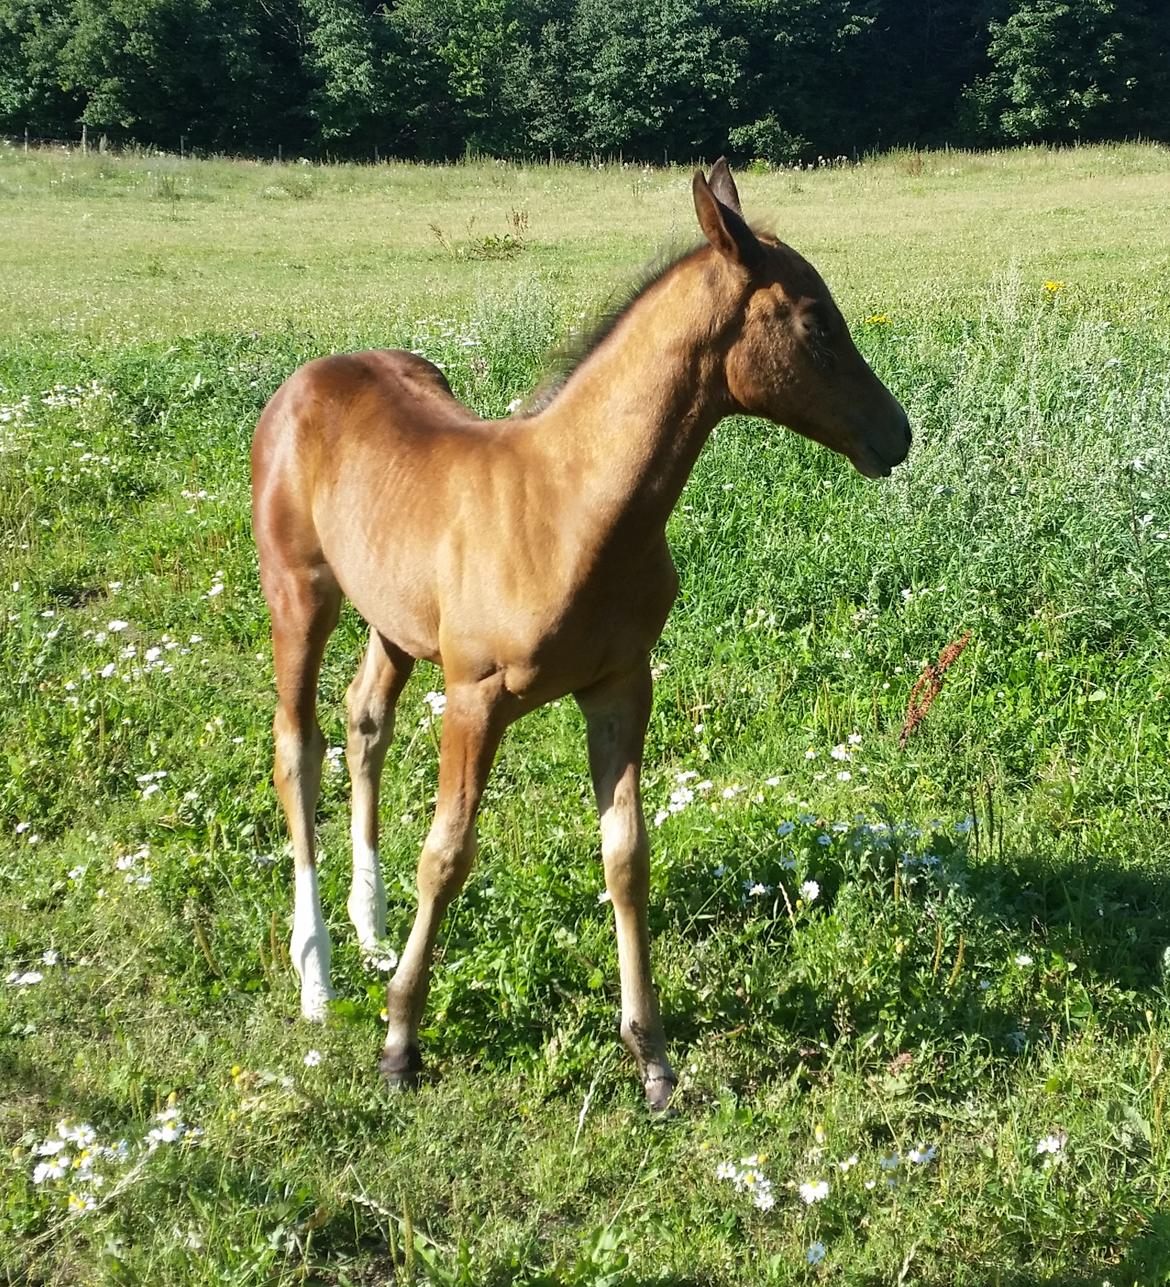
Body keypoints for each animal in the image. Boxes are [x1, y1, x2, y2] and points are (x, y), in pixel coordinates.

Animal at [250, 158, 911, 1106]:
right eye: (817, 320)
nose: (897, 432)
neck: (574, 507)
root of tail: (307, 378)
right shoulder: (476, 695)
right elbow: (446, 855)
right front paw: (401, 1039)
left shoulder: (620, 683)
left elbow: (626, 857)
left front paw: (654, 1059)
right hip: (300, 595)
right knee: (297, 748)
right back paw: (319, 975)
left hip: (394, 619)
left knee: (364, 720)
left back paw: (370, 929)